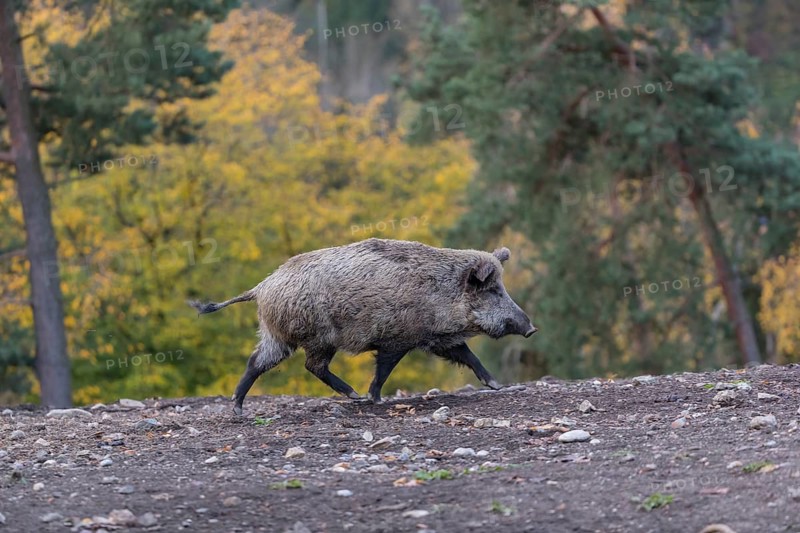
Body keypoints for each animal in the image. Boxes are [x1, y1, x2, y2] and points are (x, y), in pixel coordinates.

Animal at [188, 238, 536, 415]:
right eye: (493, 290)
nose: (531, 328)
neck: (439, 291)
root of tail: (260, 288)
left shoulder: (438, 338)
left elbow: (467, 355)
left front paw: (496, 386)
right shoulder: (398, 339)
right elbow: (383, 370)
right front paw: (374, 399)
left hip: (279, 337)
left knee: (257, 362)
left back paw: (237, 408)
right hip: (316, 338)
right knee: (310, 365)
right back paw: (354, 396)